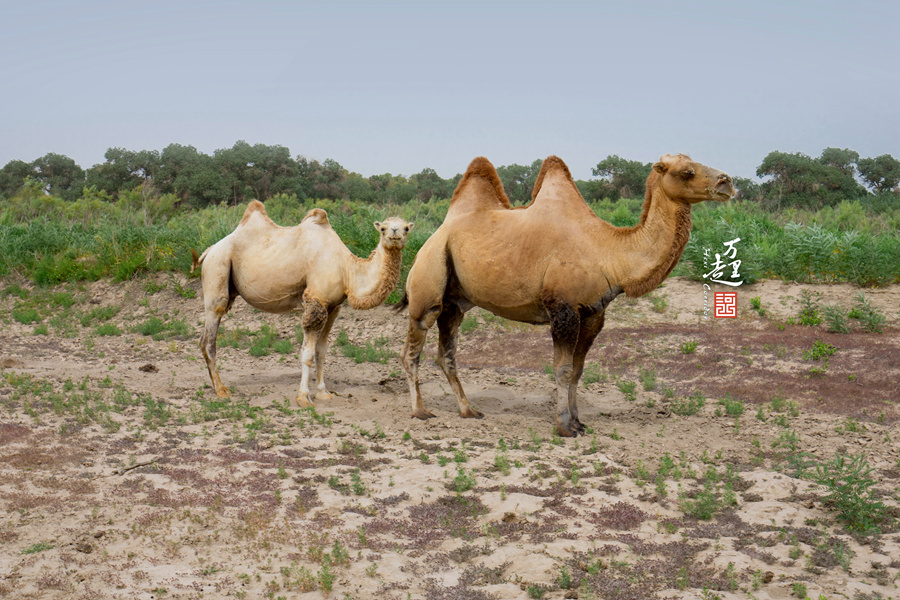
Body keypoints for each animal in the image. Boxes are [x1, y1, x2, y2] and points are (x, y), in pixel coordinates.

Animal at [193, 202, 414, 408]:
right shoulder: (315, 301)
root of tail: (209, 250)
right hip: (217, 268)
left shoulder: (332, 307)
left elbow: (321, 351)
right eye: (383, 228)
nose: (395, 233)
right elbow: (307, 353)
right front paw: (303, 398)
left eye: (406, 228)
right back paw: (221, 390)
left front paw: (323, 393)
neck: (347, 269)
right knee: (209, 336)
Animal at [398, 155, 736, 436]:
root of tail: (433, 235)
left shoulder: (593, 313)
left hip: (455, 302)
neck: (608, 253)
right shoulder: (563, 310)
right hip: (428, 282)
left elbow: (577, 370)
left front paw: (578, 422)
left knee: (447, 353)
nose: (727, 182)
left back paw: (468, 410)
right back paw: (419, 411)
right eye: (687, 171)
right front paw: (563, 427)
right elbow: (561, 369)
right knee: (412, 350)